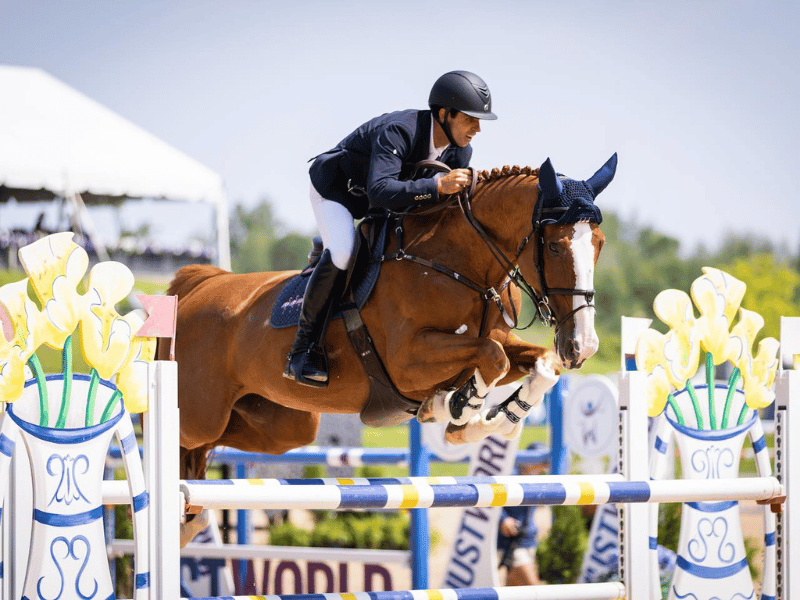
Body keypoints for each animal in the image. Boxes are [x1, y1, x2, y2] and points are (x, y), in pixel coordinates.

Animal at [159, 154, 616, 482]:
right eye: (554, 247)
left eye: (599, 244)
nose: (584, 346)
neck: (461, 264)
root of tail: (198, 286)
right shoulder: (407, 361)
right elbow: (492, 356)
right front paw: (457, 408)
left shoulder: (496, 342)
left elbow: (539, 364)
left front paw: (486, 419)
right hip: (200, 414)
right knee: (179, 439)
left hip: (283, 423)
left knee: (211, 446)